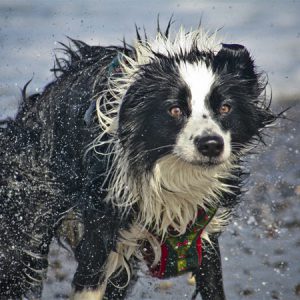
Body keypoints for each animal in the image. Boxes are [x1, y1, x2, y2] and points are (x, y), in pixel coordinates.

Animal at [0, 21, 276, 300]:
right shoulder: (101, 229)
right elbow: (89, 281)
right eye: (175, 110)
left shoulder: (202, 230)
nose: (211, 145)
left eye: (225, 108)